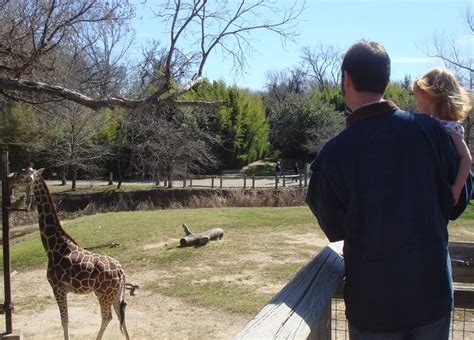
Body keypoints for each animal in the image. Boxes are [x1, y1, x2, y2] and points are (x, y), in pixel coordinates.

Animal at [9, 168, 135, 340]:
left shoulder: (57, 287)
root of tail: (121, 272)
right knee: (120, 316)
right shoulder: (61, 289)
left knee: (107, 317)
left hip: (103, 294)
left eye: (22, 174)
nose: (11, 181)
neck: (54, 247)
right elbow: (65, 320)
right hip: (114, 294)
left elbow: (64, 320)